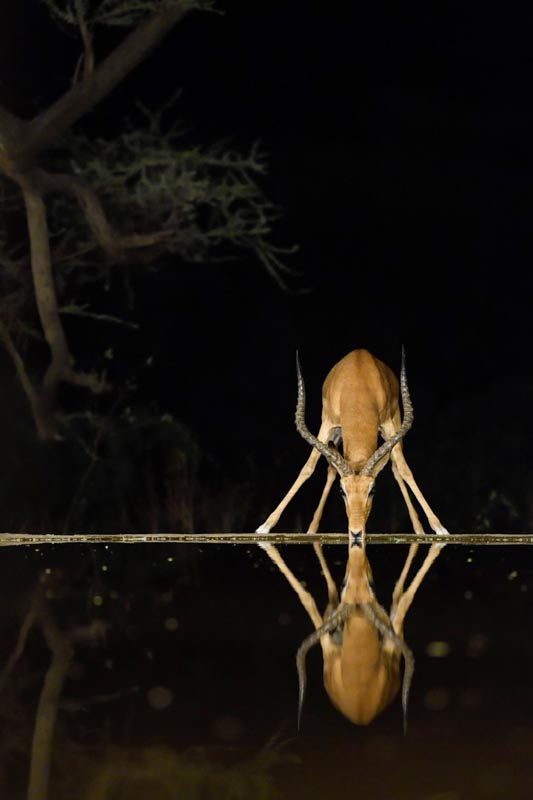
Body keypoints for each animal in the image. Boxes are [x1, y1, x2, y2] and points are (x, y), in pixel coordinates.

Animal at [256, 348, 448, 728]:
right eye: (344, 494)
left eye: (372, 491)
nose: (357, 534)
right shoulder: (327, 423)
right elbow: (311, 466)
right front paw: (266, 526)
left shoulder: (390, 423)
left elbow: (402, 467)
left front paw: (437, 528)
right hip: (334, 432)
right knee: (330, 466)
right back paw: (311, 530)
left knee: (396, 465)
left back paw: (420, 528)